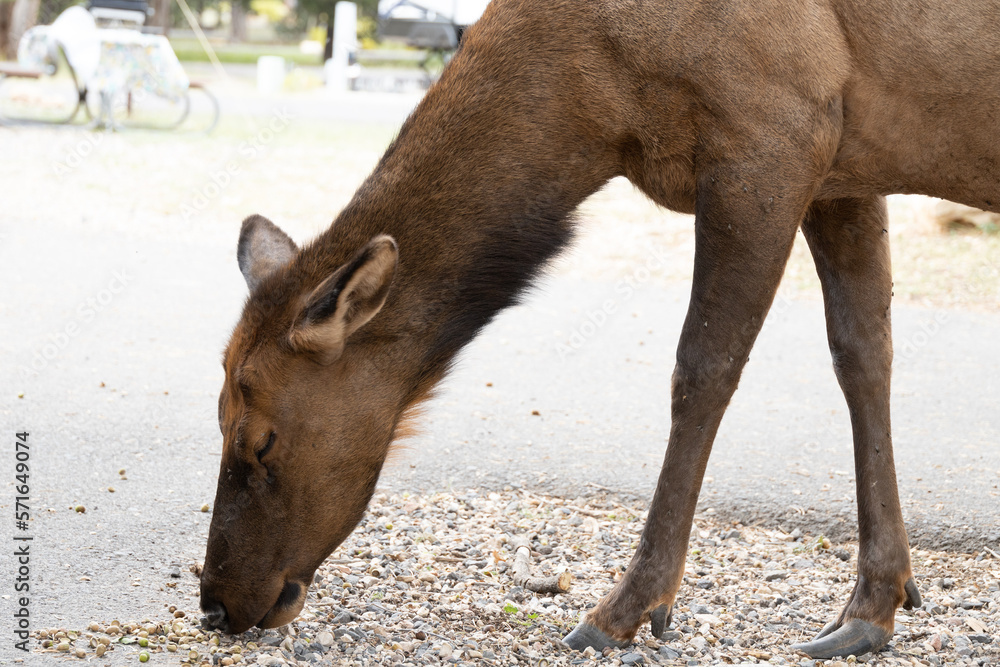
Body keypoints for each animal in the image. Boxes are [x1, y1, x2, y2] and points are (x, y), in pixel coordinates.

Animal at [200, 0, 999, 659]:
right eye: (218, 417)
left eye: (260, 439)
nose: (214, 602)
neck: (596, 106)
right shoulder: (846, 164)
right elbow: (864, 354)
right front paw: (874, 604)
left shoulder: (775, 134)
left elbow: (703, 368)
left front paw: (626, 608)